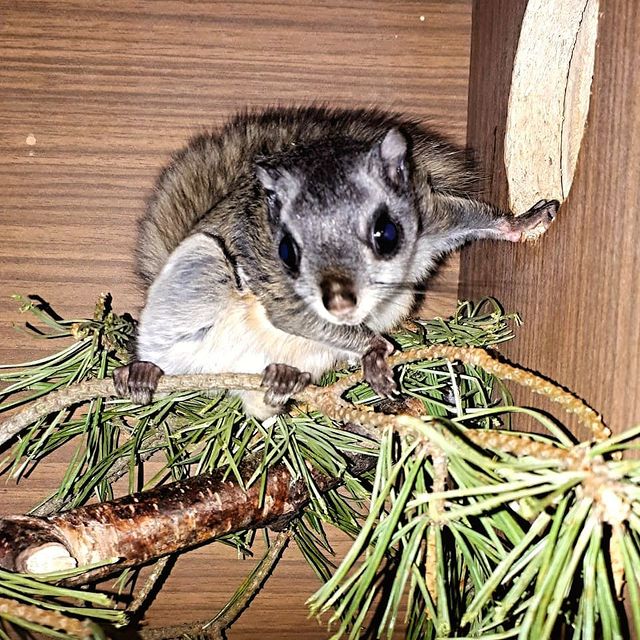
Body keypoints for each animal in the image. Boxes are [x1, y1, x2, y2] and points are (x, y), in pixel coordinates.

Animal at [113, 106, 558, 419]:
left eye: (386, 233)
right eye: (286, 250)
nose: (340, 304)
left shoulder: (428, 217)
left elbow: (470, 218)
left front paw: (523, 222)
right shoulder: (275, 283)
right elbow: (297, 316)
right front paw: (374, 348)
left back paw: (282, 379)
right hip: (199, 269)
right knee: (166, 352)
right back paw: (142, 372)